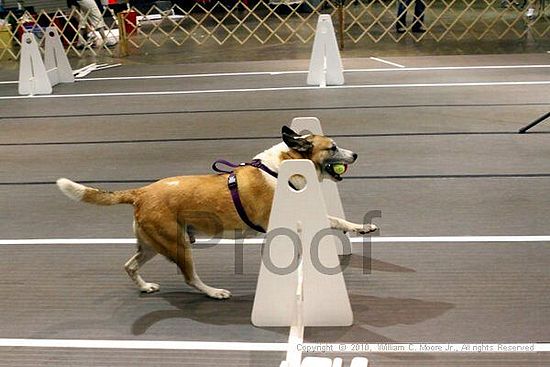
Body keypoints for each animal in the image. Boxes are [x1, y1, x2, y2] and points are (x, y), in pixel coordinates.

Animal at [58, 126, 380, 300]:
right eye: (332, 147)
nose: (355, 155)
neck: (281, 168)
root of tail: (141, 192)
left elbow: (335, 221)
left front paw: (359, 228)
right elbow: (327, 223)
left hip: (152, 244)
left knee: (129, 265)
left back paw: (146, 286)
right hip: (178, 245)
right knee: (190, 278)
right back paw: (214, 292)